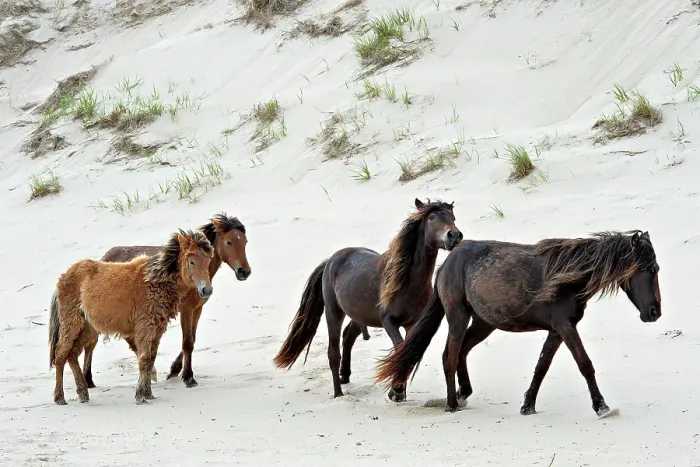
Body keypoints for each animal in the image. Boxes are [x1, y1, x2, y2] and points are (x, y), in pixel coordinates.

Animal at [48, 229, 214, 405]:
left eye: (208, 260)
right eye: (192, 261)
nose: (207, 290)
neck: (154, 281)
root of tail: (63, 278)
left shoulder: (157, 328)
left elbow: (151, 358)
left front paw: (148, 393)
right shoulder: (145, 327)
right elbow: (144, 359)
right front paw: (140, 396)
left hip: (89, 328)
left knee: (72, 354)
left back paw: (83, 393)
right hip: (71, 323)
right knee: (61, 354)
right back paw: (60, 397)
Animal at [76, 213, 250, 389]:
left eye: (245, 242)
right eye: (229, 242)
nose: (244, 272)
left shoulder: (197, 309)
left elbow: (192, 339)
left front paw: (175, 369)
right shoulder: (186, 310)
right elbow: (187, 342)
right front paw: (188, 377)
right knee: (92, 343)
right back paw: (89, 379)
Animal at [273, 198, 463, 401]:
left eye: (452, 217)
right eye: (432, 217)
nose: (454, 235)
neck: (407, 282)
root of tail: (331, 260)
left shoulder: (413, 324)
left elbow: (408, 351)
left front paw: (398, 392)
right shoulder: (389, 321)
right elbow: (399, 348)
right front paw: (396, 390)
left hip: (359, 315)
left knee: (348, 336)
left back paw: (345, 376)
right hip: (333, 312)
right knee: (334, 352)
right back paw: (338, 392)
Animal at [375, 230, 662, 418]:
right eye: (650, 269)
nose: (654, 313)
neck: (568, 275)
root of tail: (445, 264)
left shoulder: (557, 331)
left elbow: (541, 367)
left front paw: (528, 405)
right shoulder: (565, 327)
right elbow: (585, 364)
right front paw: (601, 406)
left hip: (483, 323)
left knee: (462, 352)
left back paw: (463, 393)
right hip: (458, 316)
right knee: (450, 355)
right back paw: (452, 403)